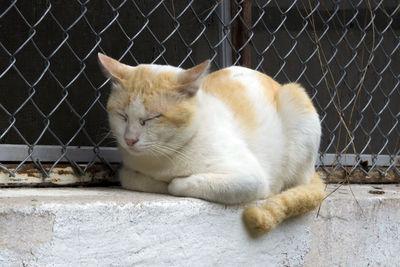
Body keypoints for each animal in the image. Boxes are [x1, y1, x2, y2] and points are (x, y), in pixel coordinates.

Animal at [98, 52, 326, 234]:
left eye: (152, 118)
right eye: (122, 116)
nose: (129, 139)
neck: (163, 160)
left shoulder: (252, 179)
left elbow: (177, 184)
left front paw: (172, 183)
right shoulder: (127, 170)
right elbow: (131, 177)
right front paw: (156, 182)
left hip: (296, 100)